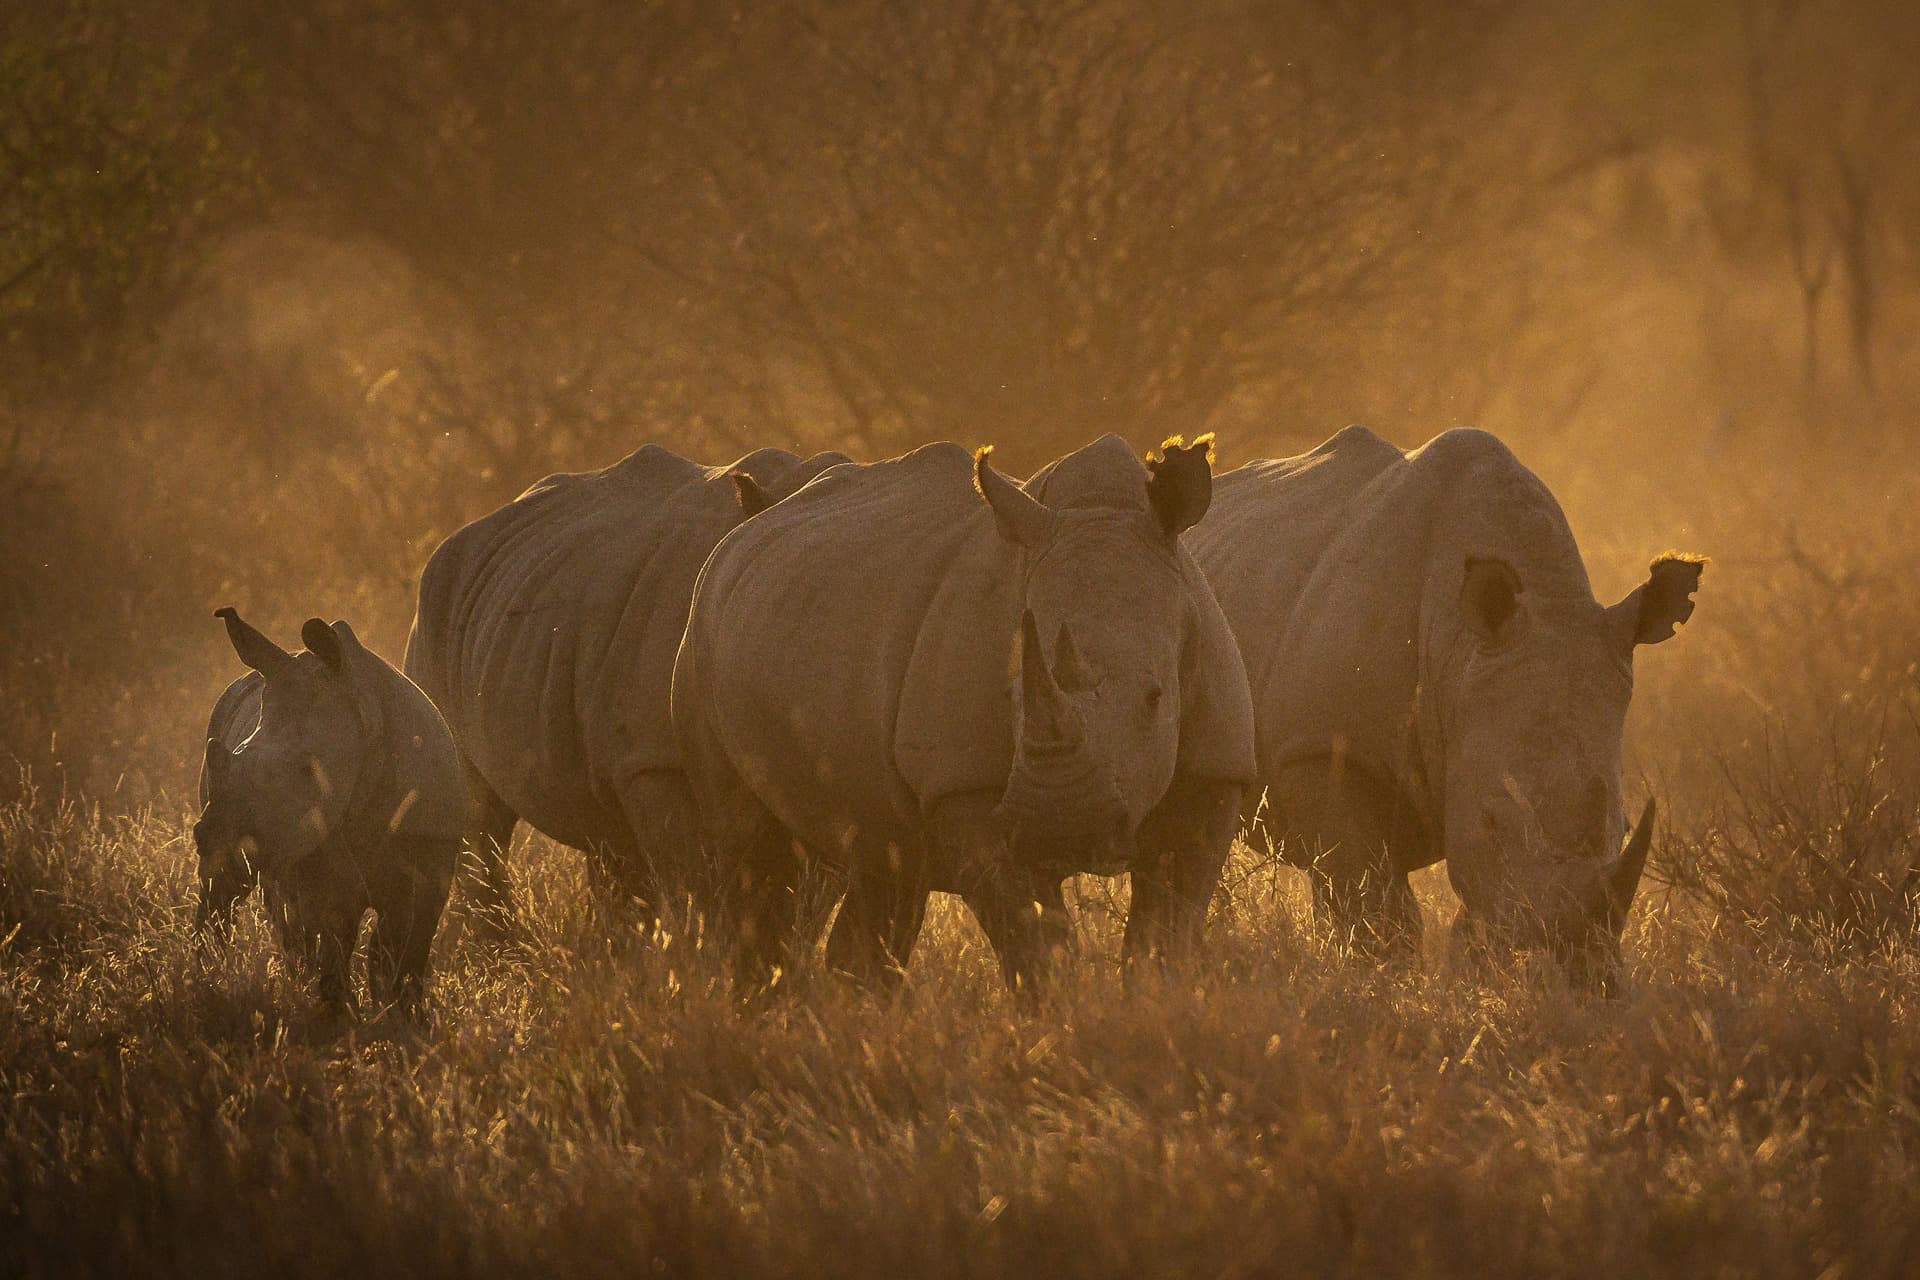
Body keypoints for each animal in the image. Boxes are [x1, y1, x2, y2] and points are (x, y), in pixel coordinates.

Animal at [195, 608, 466, 1014]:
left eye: (307, 771)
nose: (206, 835)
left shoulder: (430, 845)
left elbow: (403, 945)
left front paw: (401, 1012)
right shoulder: (314, 851)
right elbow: (337, 930)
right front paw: (340, 1011)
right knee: (234, 891)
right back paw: (208, 975)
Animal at [403, 445, 849, 929]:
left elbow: (806, 893)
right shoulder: (652, 760)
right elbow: (698, 887)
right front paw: (707, 948)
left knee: (608, 838)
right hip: (436, 615)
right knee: (480, 813)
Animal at [672, 434, 1255, 997]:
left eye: (1155, 698)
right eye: (1011, 699)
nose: (1059, 832)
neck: (1101, 510)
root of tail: (736, 537)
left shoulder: (1214, 767)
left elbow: (1164, 931)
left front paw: (1151, 1006)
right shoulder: (964, 787)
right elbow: (1033, 943)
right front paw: (1065, 1017)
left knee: (883, 862)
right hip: (700, 637)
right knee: (755, 859)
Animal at [1188, 425, 1703, 989]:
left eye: (1625, 828)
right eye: (1492, 821)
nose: (1574, 973)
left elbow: (1464, 911)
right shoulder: (1321, 749)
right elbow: (1377, 911)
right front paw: (1381, 983)